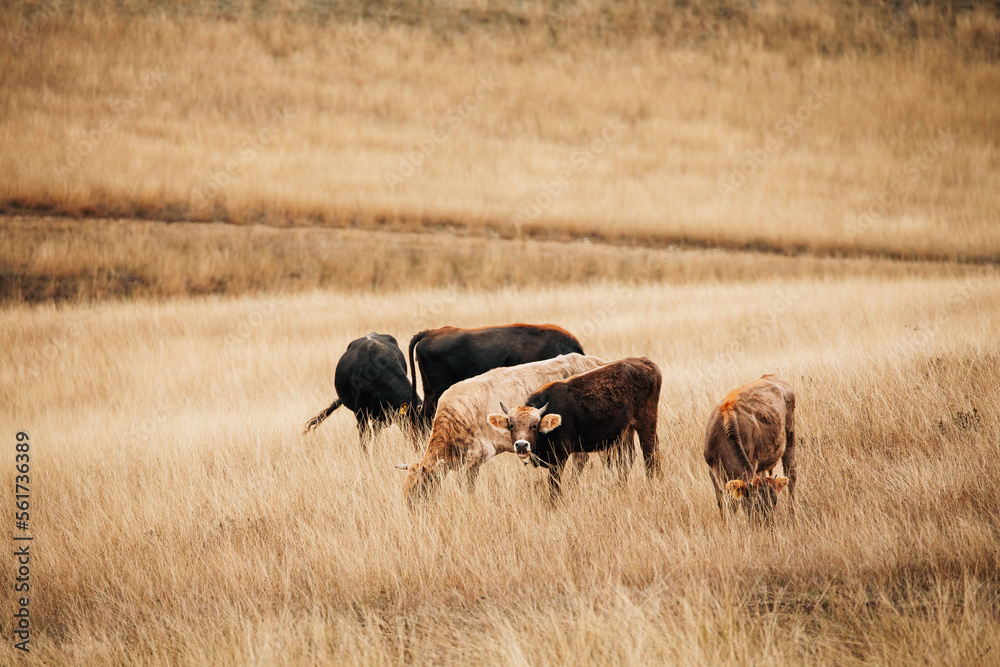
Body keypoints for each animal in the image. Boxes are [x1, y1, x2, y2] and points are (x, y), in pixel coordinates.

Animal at [486, 360, 660, 496]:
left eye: (534, 425)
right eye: (511, 425)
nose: (521, 445)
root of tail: (646, 363)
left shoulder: (559, 459)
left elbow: (554, 487)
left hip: (646, 424)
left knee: (649, 456)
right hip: (627, 431)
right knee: (628, 459)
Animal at [704, 374, 796, 524]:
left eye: (774, 502)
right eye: (755, 504)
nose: (768, 526)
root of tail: (770, 376)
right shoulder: (713, 473)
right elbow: (722, 503)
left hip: (790, 436)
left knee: (791, 472)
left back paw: (792, 511)